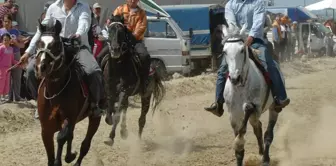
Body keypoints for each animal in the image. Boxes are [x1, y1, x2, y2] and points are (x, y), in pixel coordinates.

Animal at [36, 19, 101, 166]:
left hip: (95, 118)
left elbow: (61, 137)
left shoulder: (69, 118)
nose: (41, 67)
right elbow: (51, 153)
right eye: (38, 43)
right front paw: (64, 157)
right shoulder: (46, 129)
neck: (55, 91)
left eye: (56, 45)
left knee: (85, 145)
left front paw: (61, 160)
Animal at [102, 15, 165, 145]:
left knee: (141, 119)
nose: (115, 49)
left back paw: (138, 140)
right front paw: (110, 120)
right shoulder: (109, 90)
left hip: (146, 95)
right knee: (125, 108)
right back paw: (123, 131)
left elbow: (117, 114)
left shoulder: (124, 90)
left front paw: (110, 137)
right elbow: (110, 111)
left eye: (122, 32)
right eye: (109, 30)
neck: (119, 67)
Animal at [222, 23, 284, 166]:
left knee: (268, 134)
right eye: (224, 51)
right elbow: (239, 144)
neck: (241, 86)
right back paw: (261, 152)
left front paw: (239, 142)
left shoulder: (256, 107)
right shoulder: (233, 115)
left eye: (242, 50)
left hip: (273, 108)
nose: (235, 78)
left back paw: (265, 158)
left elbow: (247, 115)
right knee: (258, 126)